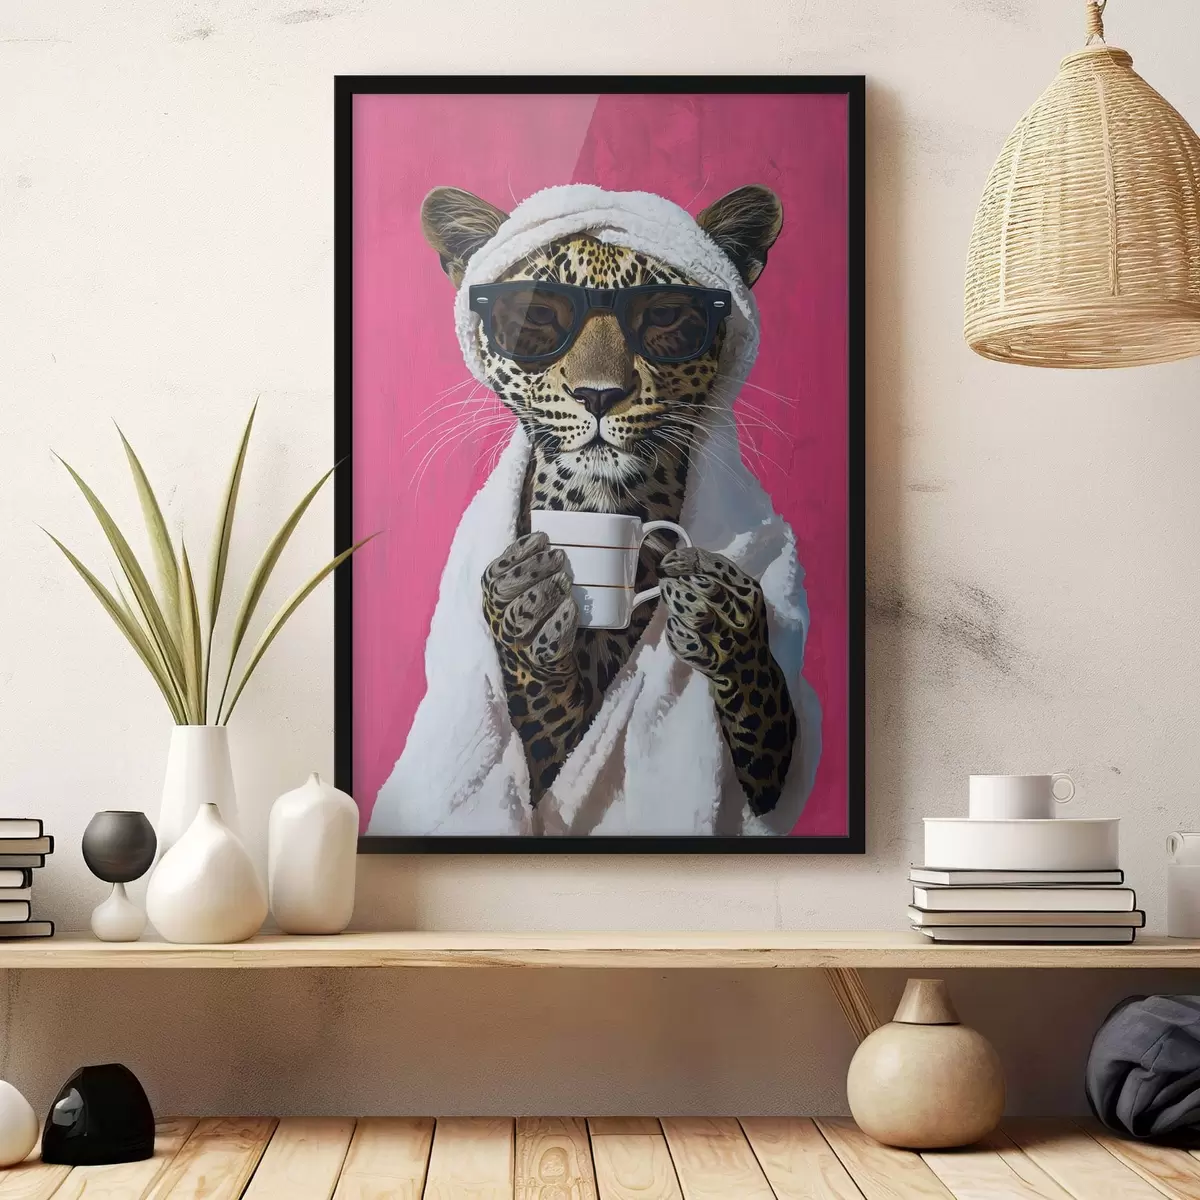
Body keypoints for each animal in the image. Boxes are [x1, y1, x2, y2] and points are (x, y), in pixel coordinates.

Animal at [420, 183, 799, 820]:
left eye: (665, 313)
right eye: (539, 313)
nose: (599, 395)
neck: (600, 505)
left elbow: (770, 766)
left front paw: (720, 610)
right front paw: (525, 610)